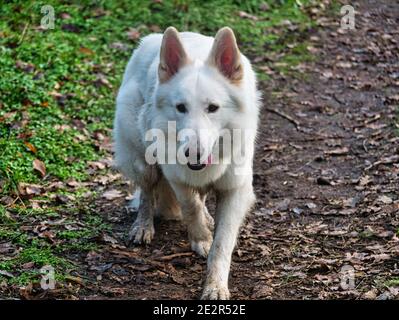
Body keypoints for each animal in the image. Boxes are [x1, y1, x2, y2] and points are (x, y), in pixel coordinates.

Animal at [114, 26, 260, 298]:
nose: (193, 153)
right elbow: (190, 206)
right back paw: (143, 226)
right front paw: (201, 238)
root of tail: (148, 41)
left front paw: (215, 285)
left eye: (213, 108)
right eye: (180, 107)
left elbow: (222, 243)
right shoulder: (176, 176)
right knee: (148, 192)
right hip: (142, 160)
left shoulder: (235, 190)